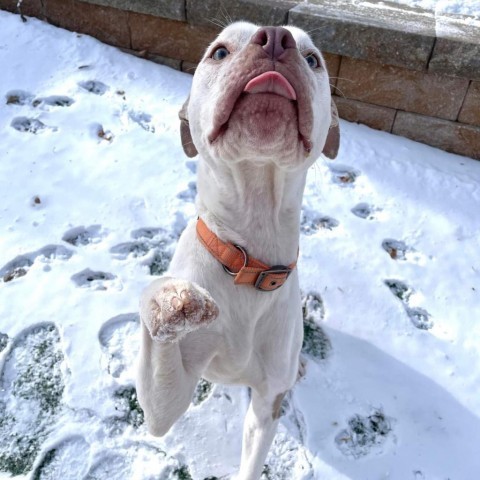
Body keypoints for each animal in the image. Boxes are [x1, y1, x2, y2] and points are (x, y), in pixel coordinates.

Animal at [137, 21, 340, 480]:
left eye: (313, 59)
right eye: (219, 51)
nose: (276, 38)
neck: (248, 258)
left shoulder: (266, 408)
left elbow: (253, 458)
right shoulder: (164, 402)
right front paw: (171, 300)